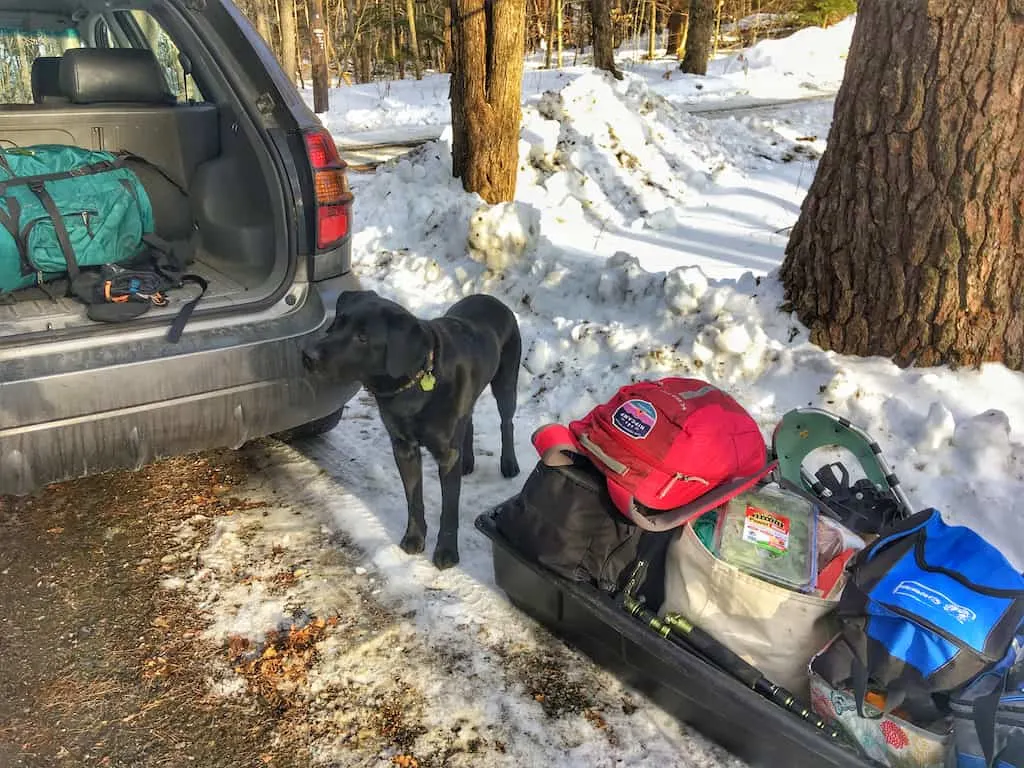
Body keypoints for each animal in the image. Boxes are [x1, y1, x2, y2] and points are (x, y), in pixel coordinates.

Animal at [296, 290, 520, 569]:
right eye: (337, 323)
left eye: (363, 337)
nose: (307, 354)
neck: (415, 382)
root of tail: (492, 298)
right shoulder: (403, 448)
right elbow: (414, 499)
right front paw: (414, 539)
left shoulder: (447, 456)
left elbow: (449, 510)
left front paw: (447, 552)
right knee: (468, 421)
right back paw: (468, 461)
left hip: (507, 381)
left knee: (506, 422)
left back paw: (509, 463)